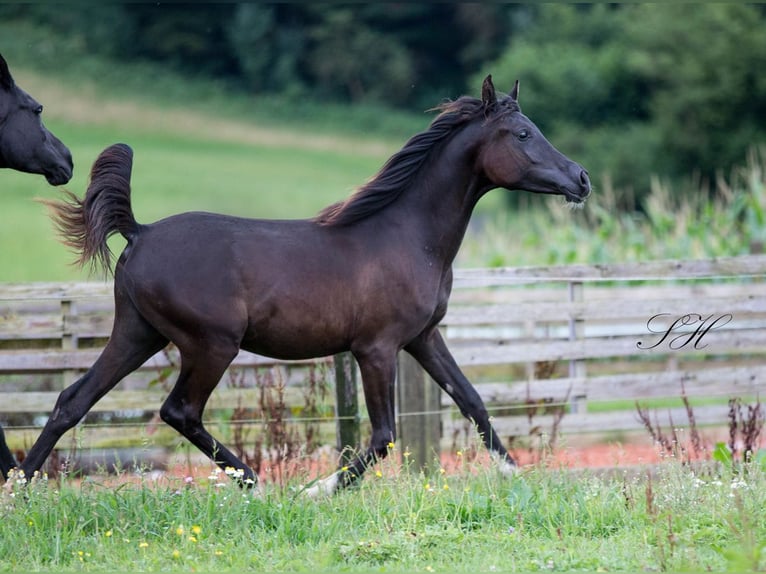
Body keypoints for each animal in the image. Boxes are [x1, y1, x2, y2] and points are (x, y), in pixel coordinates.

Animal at [7, 74, 592, 492]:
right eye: (524, 134)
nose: (581, 179)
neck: (406, 236)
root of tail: (140, 231)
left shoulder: (423, 339)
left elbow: (472, 401)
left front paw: (517, 474)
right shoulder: (376, 348)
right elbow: (383, 436)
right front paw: (320, 490)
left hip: (138, 334)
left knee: (72, 400)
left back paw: (18, 489)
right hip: (211, 344)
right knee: (179, 410)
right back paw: (256, 482)